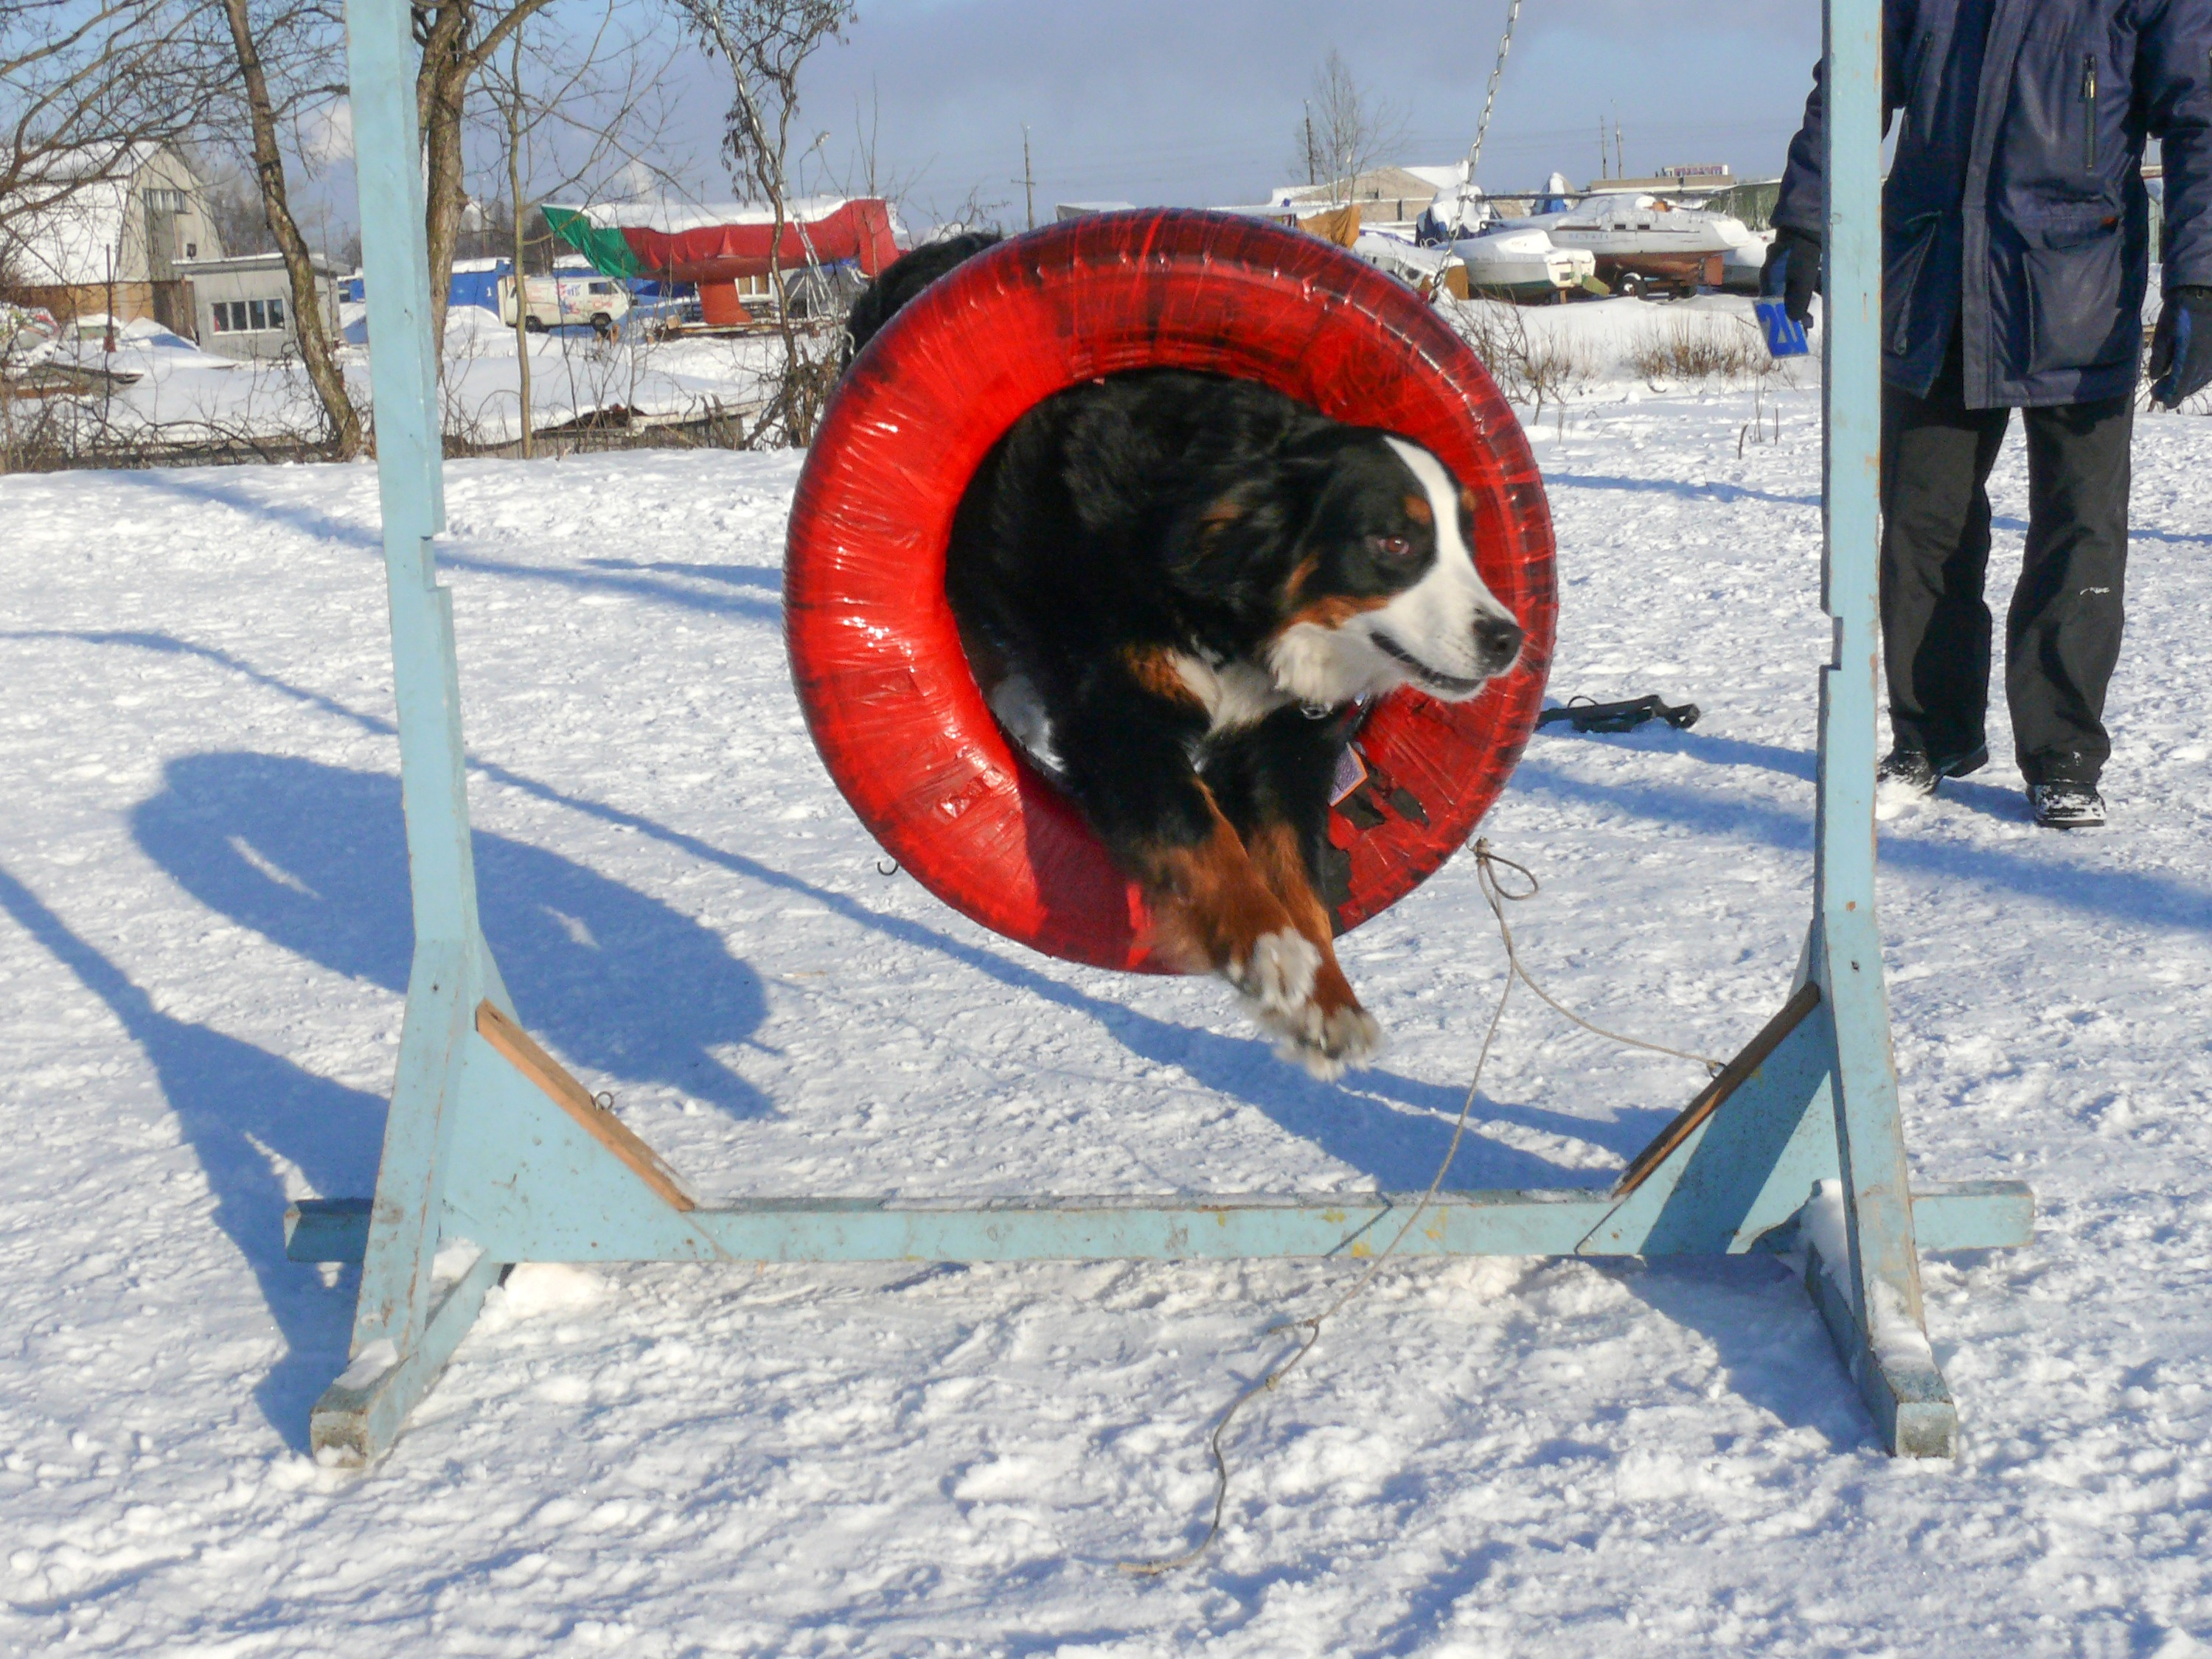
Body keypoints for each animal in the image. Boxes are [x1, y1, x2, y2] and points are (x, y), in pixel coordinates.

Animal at [841, 234, 1522, 1079]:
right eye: (1394, 542)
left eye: (1468, 538)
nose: (1508, 639)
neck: (1238, 615)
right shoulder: (1124, 723)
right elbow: (1208, 841)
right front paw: (1273, 959)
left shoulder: (1286, 746)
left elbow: (1300, 879)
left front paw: (1324, 1005)